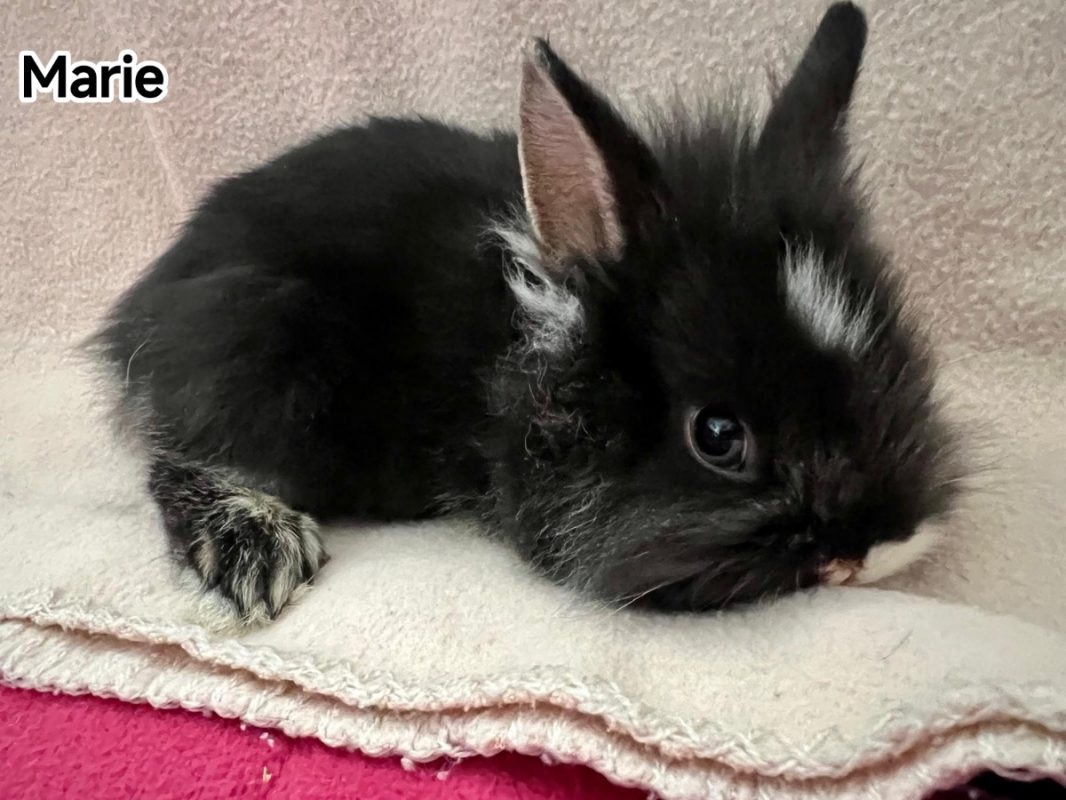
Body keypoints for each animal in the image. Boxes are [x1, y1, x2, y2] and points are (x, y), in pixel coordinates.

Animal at [93, 2, 960, 622]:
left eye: (899, 373)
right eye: (718, 436)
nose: (874, 548)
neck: (523, 353)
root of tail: (147, 298)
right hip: (258, 354)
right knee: (178, 460)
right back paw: (257, 548)